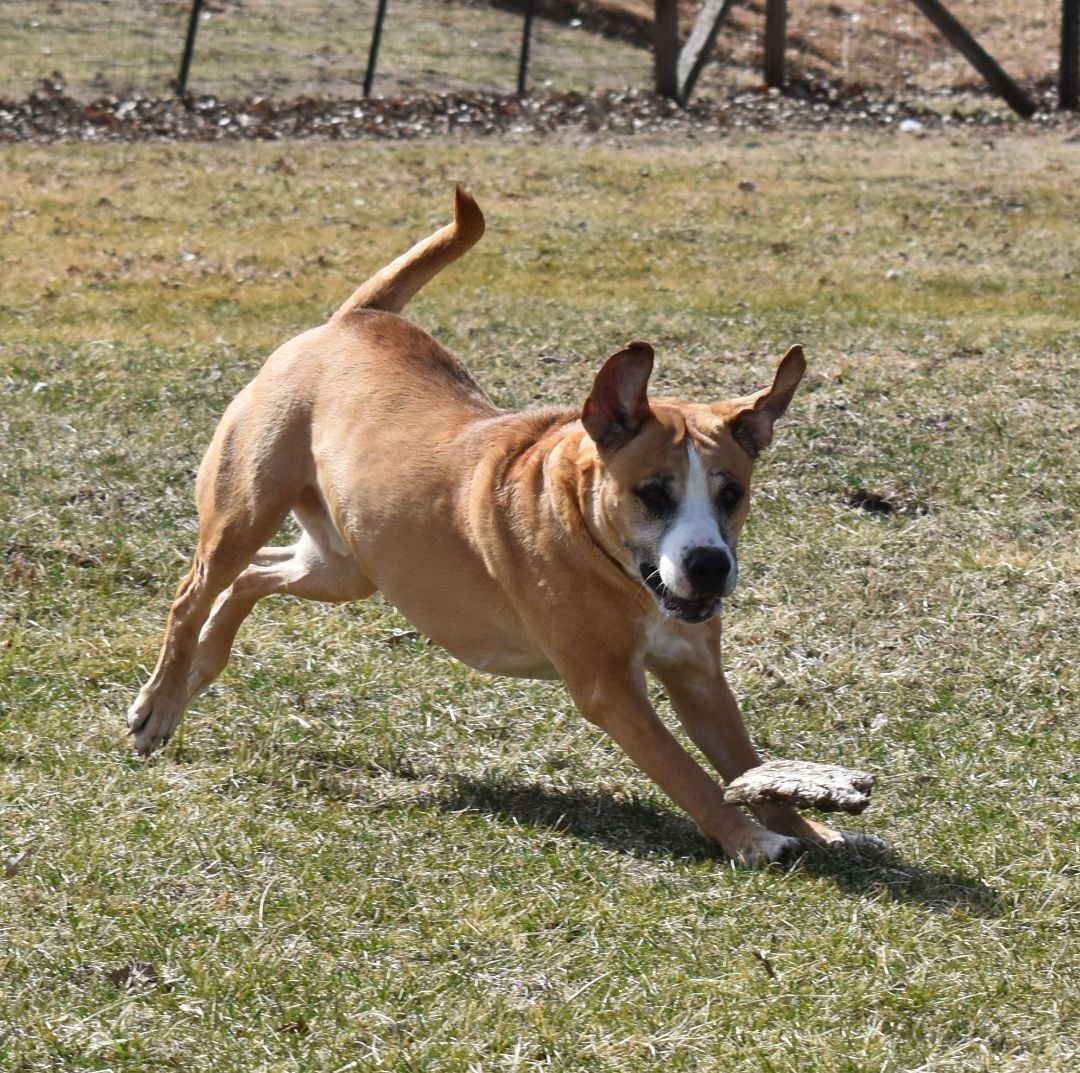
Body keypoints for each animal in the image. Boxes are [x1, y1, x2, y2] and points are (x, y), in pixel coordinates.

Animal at [132, 187, 876, 867]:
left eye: (732, 493)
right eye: (653, 493)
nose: (710, 565)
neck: (595, 544)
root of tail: (352, 320)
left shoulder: (698, 674)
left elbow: (743, 759)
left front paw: (812, 825)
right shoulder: (611, 689)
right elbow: (687, 772)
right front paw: (751, 839)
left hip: (350, 563)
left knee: (254, 579)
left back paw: (201, 669)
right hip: (246, 509)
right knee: (194, 593)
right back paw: (158, 706)